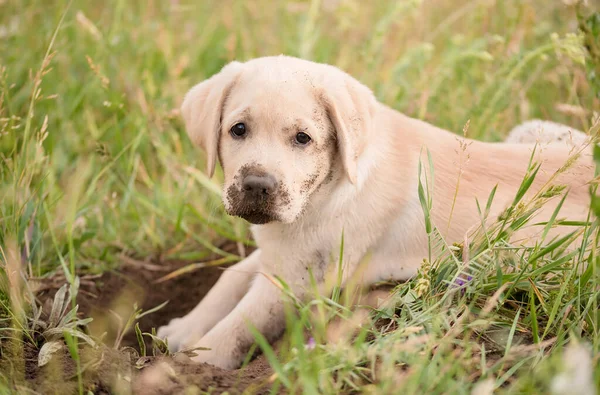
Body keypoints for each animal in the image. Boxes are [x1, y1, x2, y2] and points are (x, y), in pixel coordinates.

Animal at [156, 55, 596, 372]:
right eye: (238, 130)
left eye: (302, 139)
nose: (256, 185)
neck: (329, 190)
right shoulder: (282, 253)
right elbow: (231, 277)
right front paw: (184, 328)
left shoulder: (297, 278)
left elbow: (239, 324)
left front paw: (191, 365)